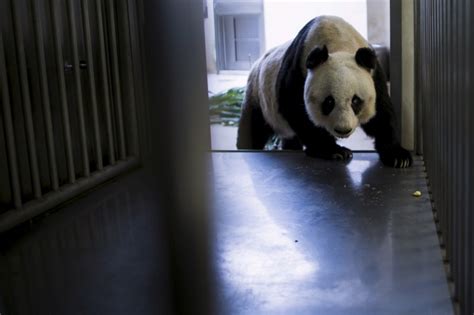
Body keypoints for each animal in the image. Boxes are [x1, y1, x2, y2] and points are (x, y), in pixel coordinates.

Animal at [237, 15, 412, 168]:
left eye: (356, 101)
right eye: (329, 102)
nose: (343, 130)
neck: (338, 42)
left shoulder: (373, 74)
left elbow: (381, 113)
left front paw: (398, 156)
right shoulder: (298, 69)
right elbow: (297, 109)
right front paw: (334, 151)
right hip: (257, 95)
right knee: (253, 128)